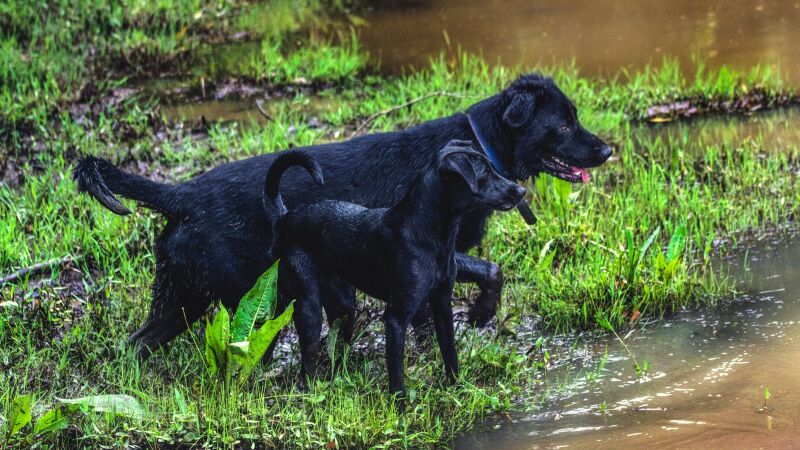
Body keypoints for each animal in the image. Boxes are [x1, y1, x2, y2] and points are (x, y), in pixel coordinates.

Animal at [75, 73, 612, 356]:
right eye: (564, 124)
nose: (607, 150)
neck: (479, 145)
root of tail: (181, 194)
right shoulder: (437, 255)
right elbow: (491, 271)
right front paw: (479, 314)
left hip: (181, 295)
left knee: (136, 344)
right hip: (241, 294)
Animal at [262, 142, 524, 394]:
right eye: (484, 174)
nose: (521, 191)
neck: (427, 234)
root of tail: (284, 218)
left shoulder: (442, 303)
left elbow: (450, 354)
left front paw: (456, 389)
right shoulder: (396, 318)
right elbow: (397, 377)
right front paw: (401, 405)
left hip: (341, 304)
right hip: (307, 305)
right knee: (305, 358)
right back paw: (304, 390)